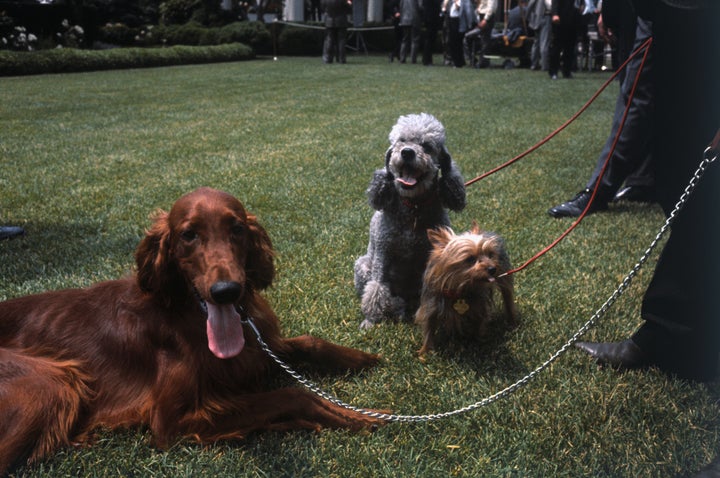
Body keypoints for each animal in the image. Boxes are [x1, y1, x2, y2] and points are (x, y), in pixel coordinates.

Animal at [0, 188, 382, 474]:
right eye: (188, 234)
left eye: (237, 228)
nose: (226, 290)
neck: (189, 315)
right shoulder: (171, 421)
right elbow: (294, 395)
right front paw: (352, 416)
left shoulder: (255, 346)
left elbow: (306, 343)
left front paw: (359, 358)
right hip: (50, 383)